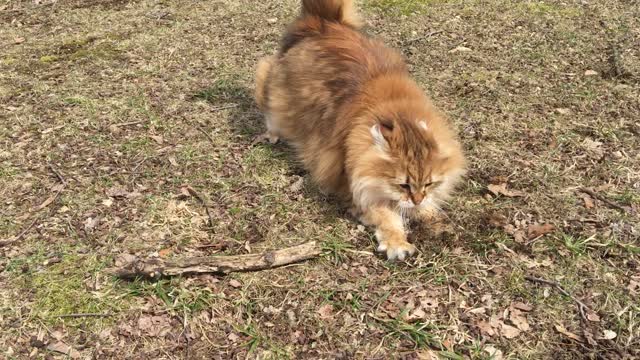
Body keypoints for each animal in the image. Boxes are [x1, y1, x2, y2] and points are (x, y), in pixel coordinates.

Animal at [254, 0, 464, 258]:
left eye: (429, 183)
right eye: (403, 185)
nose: (416, 199)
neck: (395, 112)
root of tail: (323, 23)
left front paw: (431, 215)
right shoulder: (354, 186)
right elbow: (387, 216)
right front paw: (397, 243)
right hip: (277, 99)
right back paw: (272, 134)